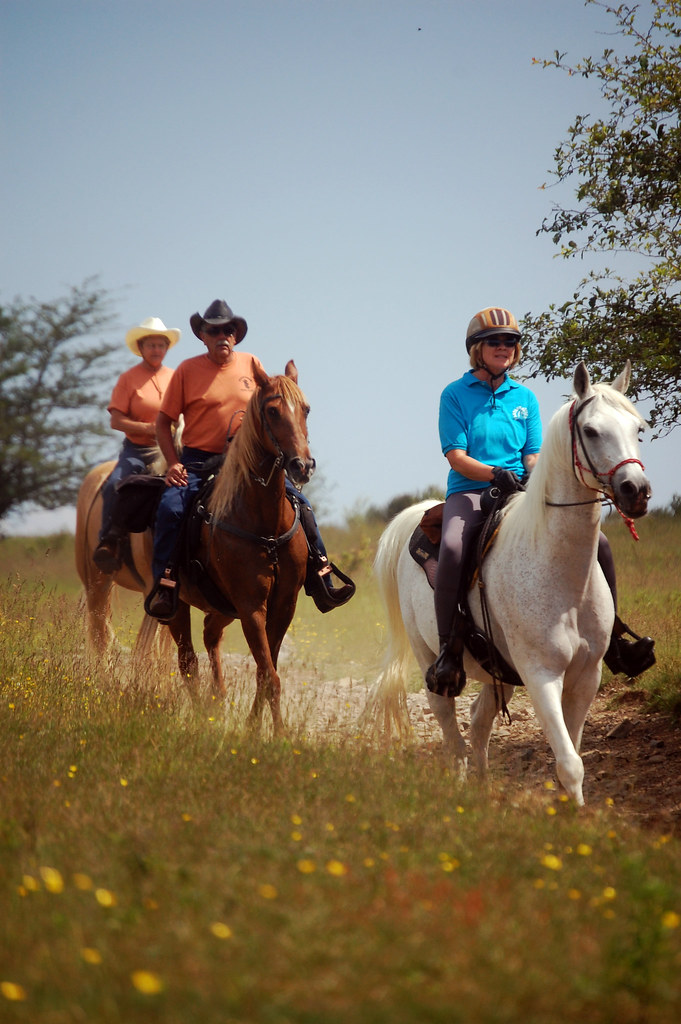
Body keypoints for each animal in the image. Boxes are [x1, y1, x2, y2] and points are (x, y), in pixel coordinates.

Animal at [364, 362, 651, 806]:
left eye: (638, 428)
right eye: (590, 431)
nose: (635, 491)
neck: (560, 573)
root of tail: (419, 515)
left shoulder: (586, 676)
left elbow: (573, 752)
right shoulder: (541, 674)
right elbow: (569, 762)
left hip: (498, 672)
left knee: (480, 720)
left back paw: (483, 787)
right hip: (429, 657)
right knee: (450, 727)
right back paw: (460, 785)